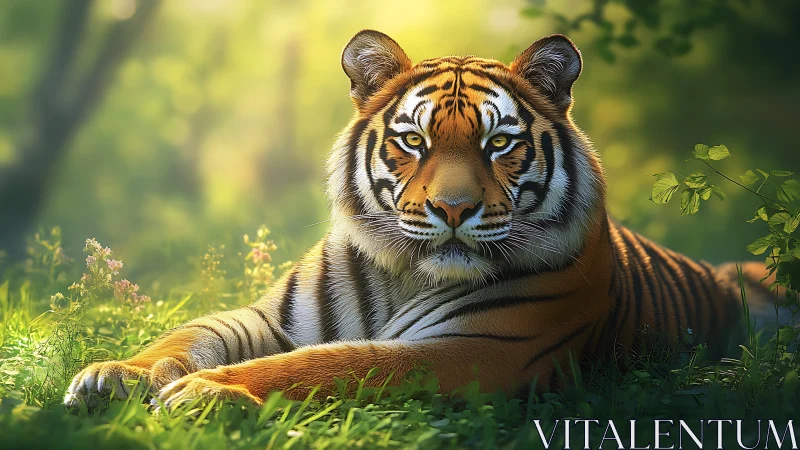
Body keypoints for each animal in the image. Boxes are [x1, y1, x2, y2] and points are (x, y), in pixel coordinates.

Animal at [64, 30, 774, 410]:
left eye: (498, 143)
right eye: (415, 140)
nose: (453, 208)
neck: (404, 275)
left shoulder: (480, 349)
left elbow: (329, 365)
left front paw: (206, 393)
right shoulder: (270, 318)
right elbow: (189, 335)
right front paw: (116, 375)